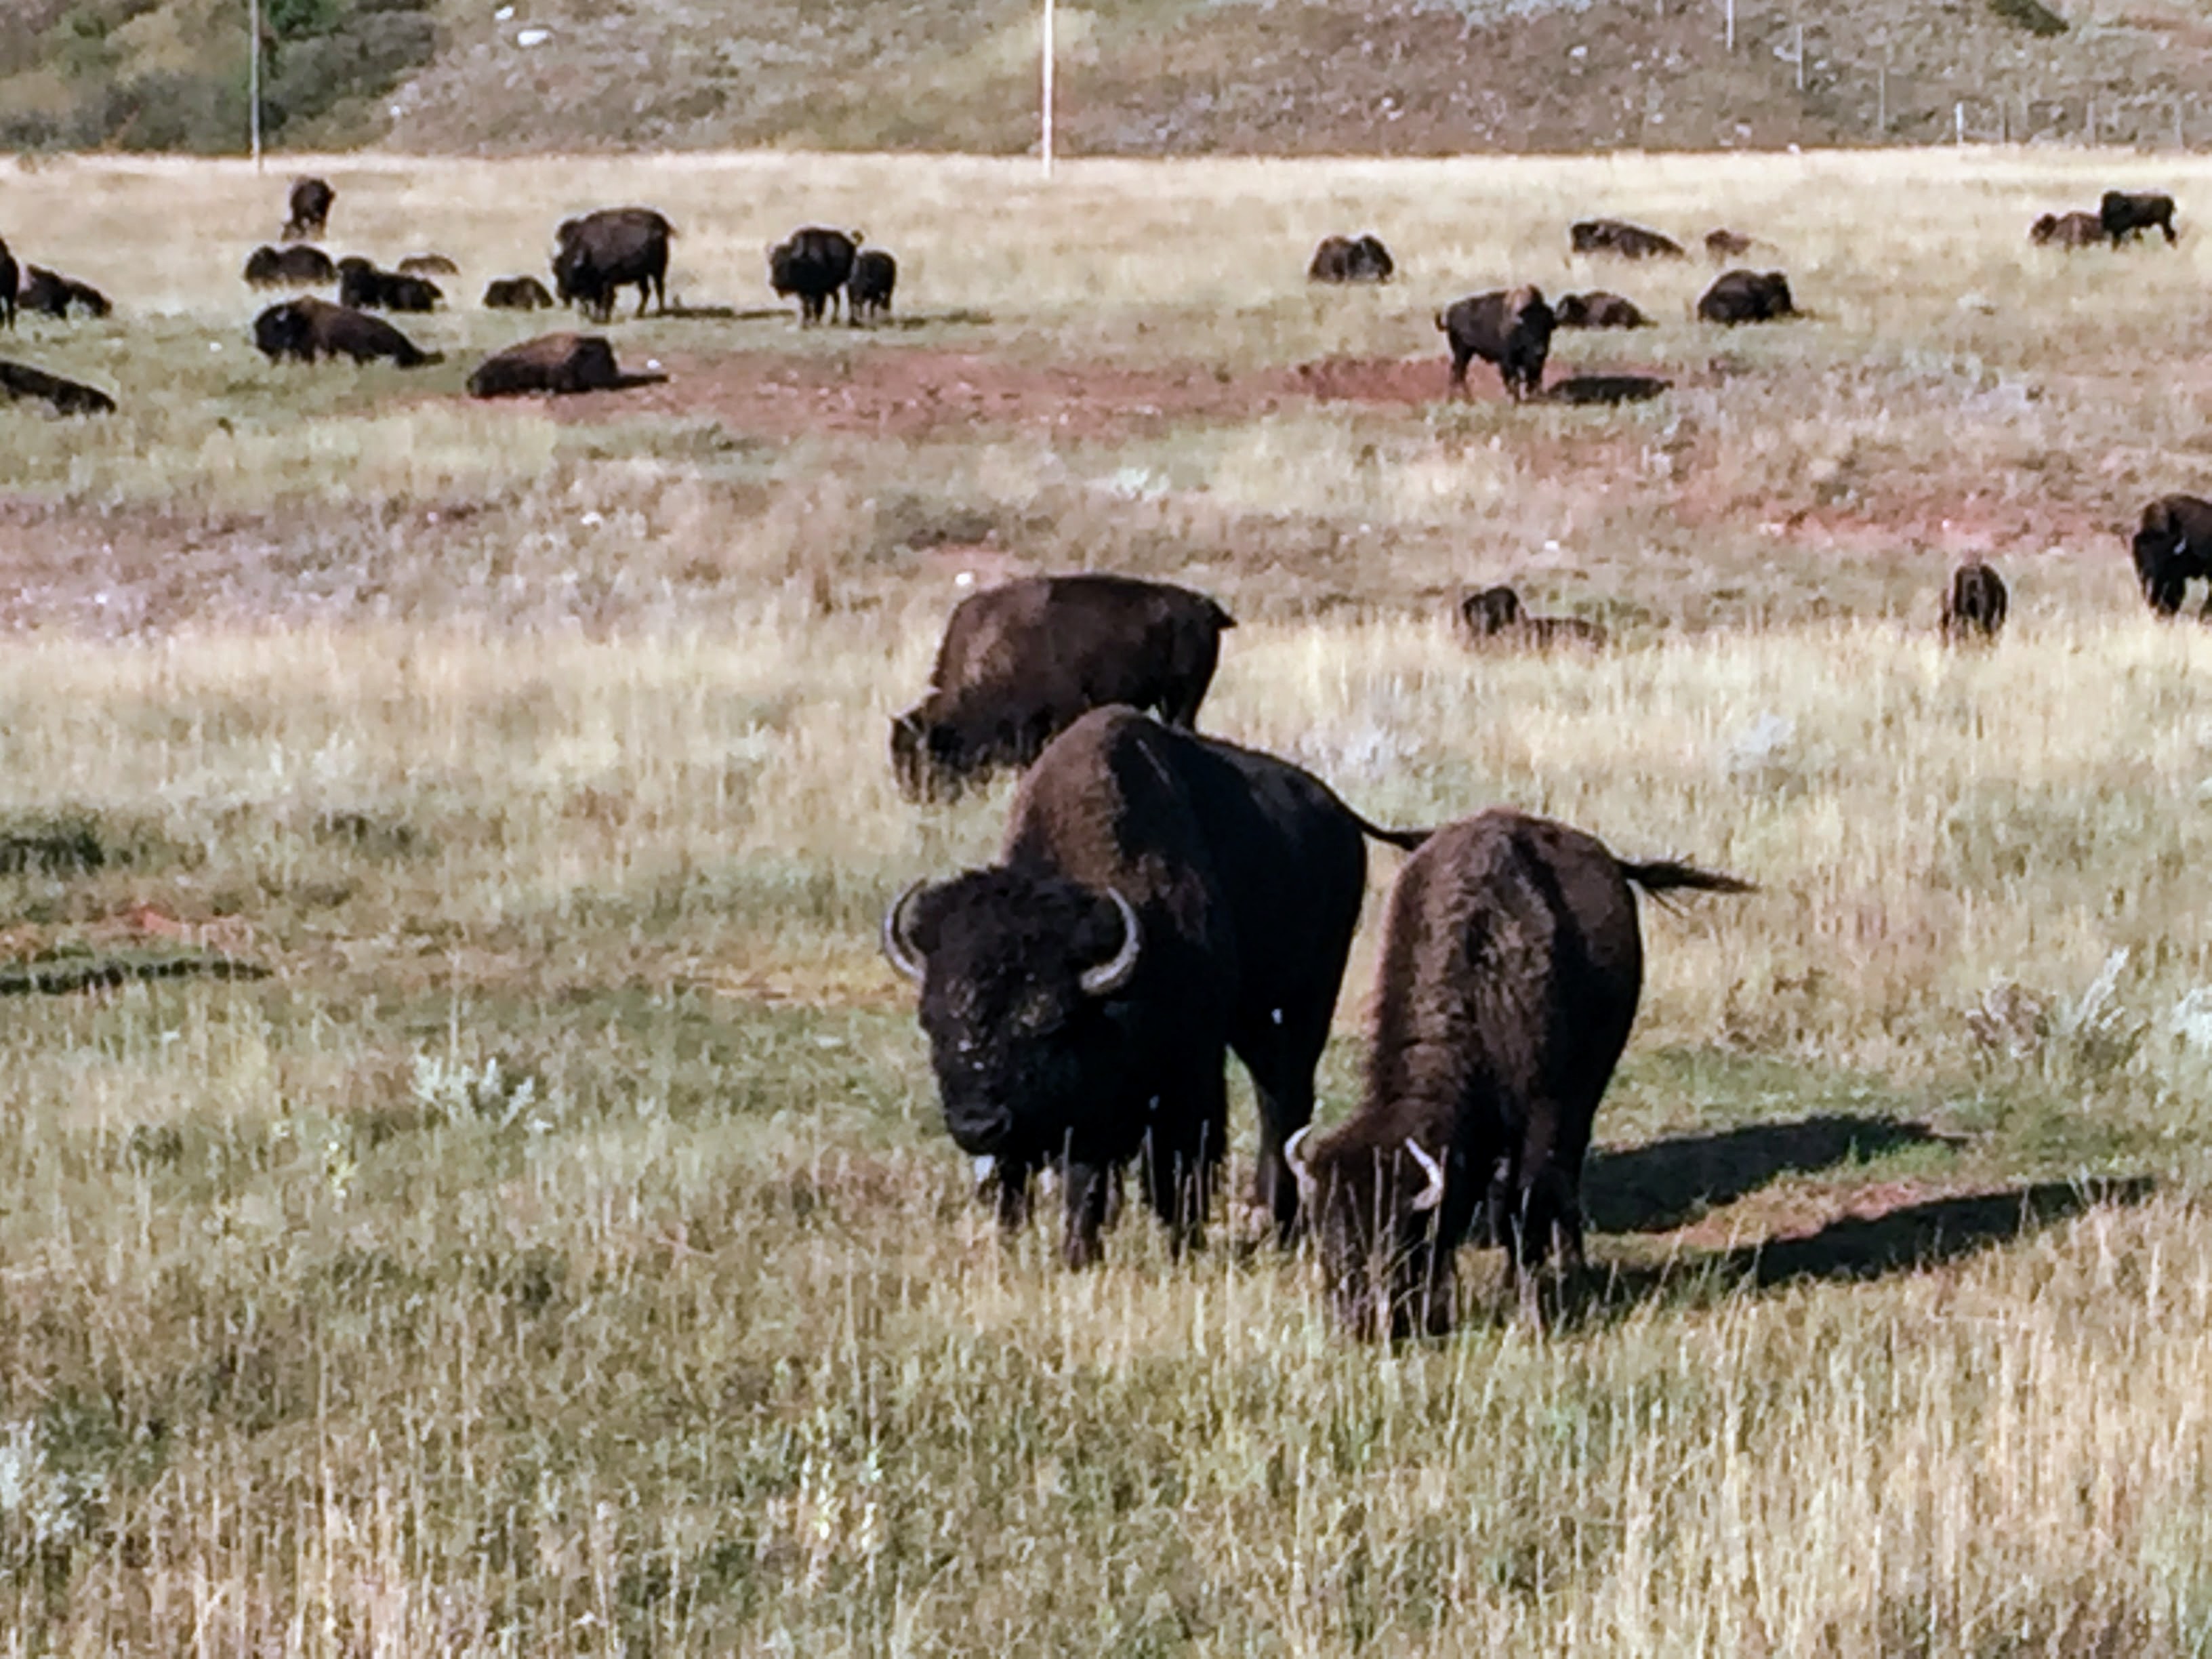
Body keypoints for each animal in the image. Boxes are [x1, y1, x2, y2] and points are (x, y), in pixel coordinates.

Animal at [553, 208, 674, 322]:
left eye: (570, 272)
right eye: (556, 271)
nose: (560, 293)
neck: (589, 252)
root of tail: (662, 225)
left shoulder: (608, 282)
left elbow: (607, 300)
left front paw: (605, 319)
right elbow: (599, 302)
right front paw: (599, 318)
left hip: (658, 271)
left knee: (659, 289)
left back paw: (660, 312)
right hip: (642, 276)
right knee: (646, 292)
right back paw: (638, 314)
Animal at [769, 226, 861, 325]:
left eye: (788, 264)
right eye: (772, 263)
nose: (774, 282)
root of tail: (851, 244)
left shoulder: (819, 291)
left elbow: (817, 306)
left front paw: (815, 321)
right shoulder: (804, 291)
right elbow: (806, 306)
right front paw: (805, 321)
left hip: (846, 281)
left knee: (849, 299)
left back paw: (850, 320)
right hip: (832, 288)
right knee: (837, 298)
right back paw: (834, 319)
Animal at [881, 707, 1427, 1266]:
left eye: (1049, 1021)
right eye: (931, 1022)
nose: (978, 1125)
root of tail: (1340, 815)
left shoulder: (1189, 1068)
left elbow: (1172, 1165)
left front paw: (1173, 1246)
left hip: (1300, 1009)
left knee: (1283, 1102)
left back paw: (1276, 1221)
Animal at [1287, 809, 1749, 1338]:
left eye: (1397, 1236)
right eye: (1325, 1230)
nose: (1357, 1322)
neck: (1478, 985)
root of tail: (1611, 862)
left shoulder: (1539, 1113)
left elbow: (1521, 1206)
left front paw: (1524, 1303)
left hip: (1586, 1092)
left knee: (1565, 1172)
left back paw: (1572, 1264)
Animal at [1438, 286, 1555, 400]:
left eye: (1548, 329)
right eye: (1528, 330)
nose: (1540, 351)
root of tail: (1449, 316)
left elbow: (1532, 378)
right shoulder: (1507, 361)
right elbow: (1513, 380)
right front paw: (1515, 399)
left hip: (1467, 353)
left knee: (1457, 372)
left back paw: (1459, 399)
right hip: (1462, 352)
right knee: (1458, 372)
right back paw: (1466, 399)